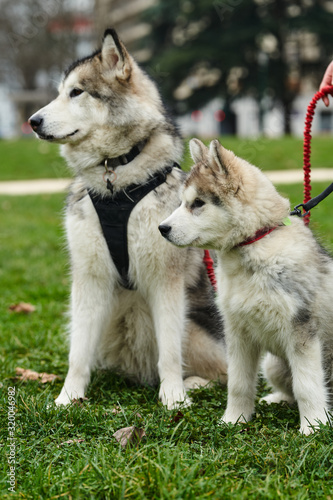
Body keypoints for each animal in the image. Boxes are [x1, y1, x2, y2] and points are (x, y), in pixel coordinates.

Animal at [28, 29, 227, 408]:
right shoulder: (89, 277)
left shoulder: (166, 280)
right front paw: (68, 397)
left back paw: (195, 383)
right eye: (59, 92)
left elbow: (170, 350)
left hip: (196, 328)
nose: (33, 121)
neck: (115, 184)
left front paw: (173, 396)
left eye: (77, 92)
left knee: (227, 369)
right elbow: (78, 352)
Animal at [158, 138, 332, 434]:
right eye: (181, 202)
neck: (257, 242)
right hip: (272, 365)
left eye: (198, 203)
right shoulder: (238, 332)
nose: (162, 228)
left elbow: (306, 385)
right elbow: (238, 383)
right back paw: (275, 399)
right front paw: (233, 420)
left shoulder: (302, 330)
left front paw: (313, 427)